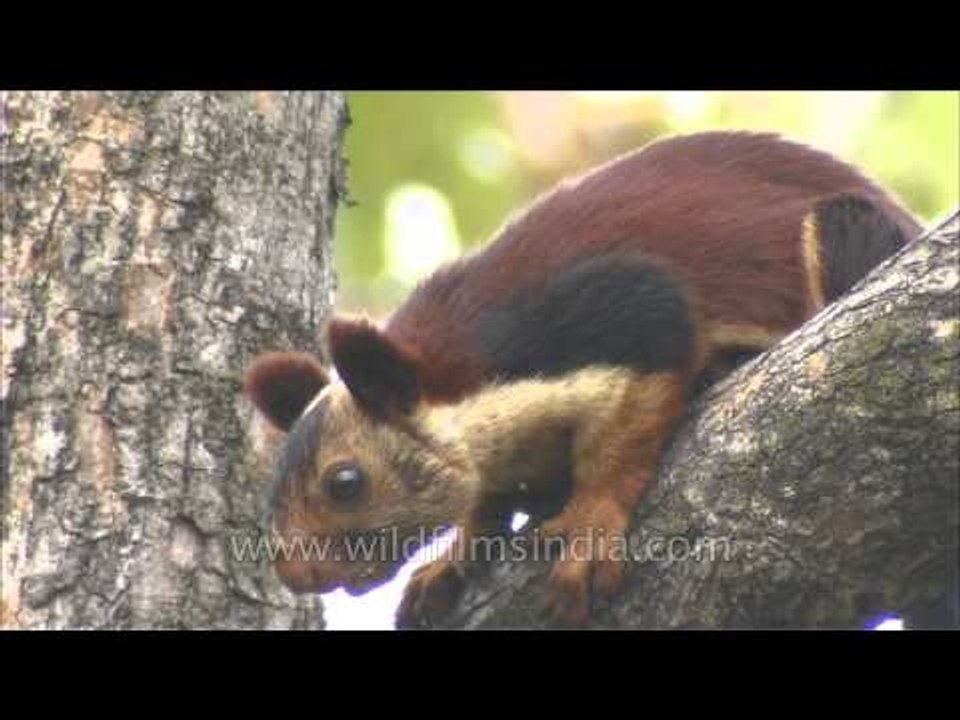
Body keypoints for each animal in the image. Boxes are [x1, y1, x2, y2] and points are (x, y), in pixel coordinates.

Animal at [243, 131, 922, 628]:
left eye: (346, 482)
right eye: (272, 482)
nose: (295, 574)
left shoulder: (613, 314)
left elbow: (618, 439)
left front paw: (590, 523)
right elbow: (487, 497)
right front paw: (459, 550)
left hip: (847, 231)